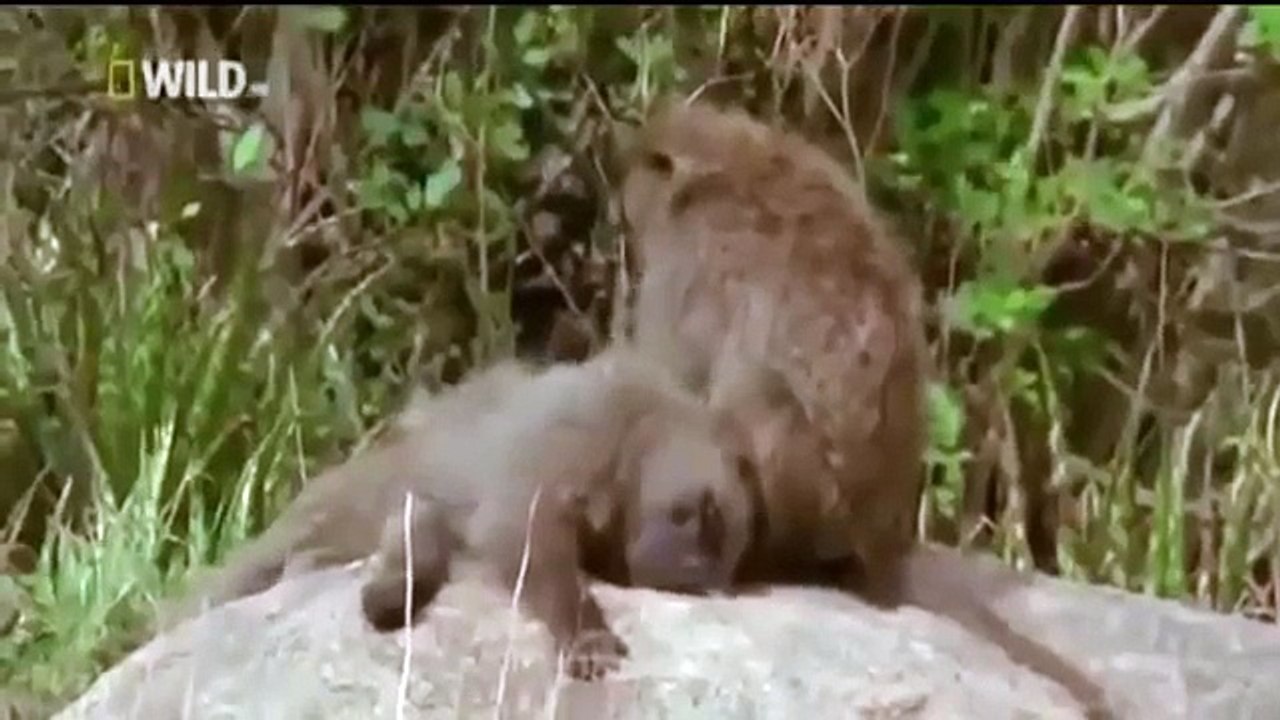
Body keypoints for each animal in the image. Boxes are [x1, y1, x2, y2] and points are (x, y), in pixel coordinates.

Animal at [167, 346, 757, 680]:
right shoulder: (579, 437)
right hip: (350, 496)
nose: (706, 583)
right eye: (703, 532)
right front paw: (583, 633)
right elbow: (521, 532)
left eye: (721, 564)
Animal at [616, 98, 1115, 718]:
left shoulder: (689, 266)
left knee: (759, 392)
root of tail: (883, 544)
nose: (623, 203)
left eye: (639, 168)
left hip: (816, 504)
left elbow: (671, 377)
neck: (729, 167)